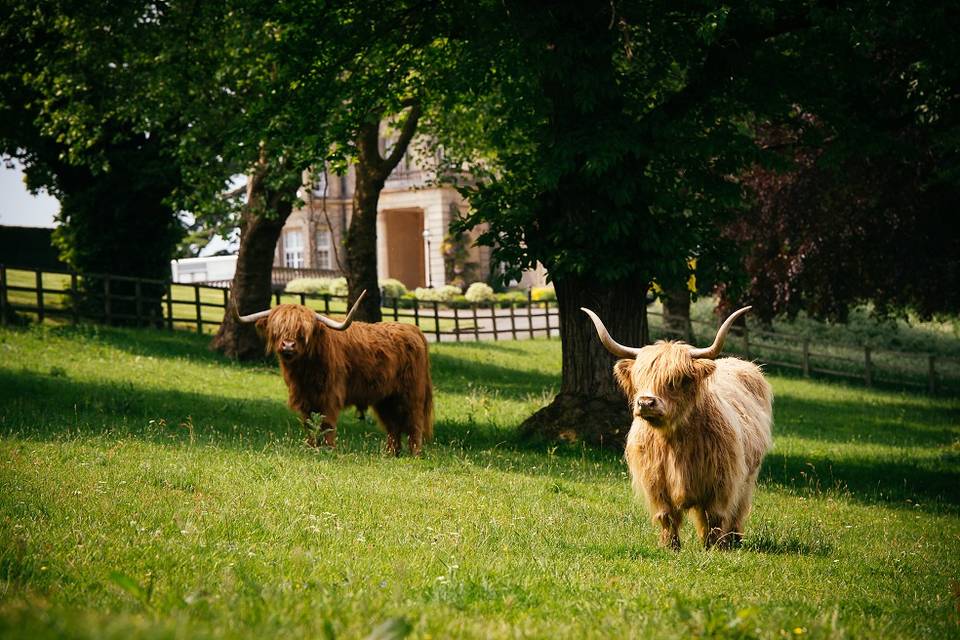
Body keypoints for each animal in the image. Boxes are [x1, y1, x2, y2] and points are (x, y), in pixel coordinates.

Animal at [240, 290, 436, 456]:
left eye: (303, 331)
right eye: (277, 329)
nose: (288, 345)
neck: (305, 371)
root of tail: (414, 330)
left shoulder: (330, 396)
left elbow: (327, 424)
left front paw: (329, 450)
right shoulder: (304, 399)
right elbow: (309, 424)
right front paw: (312, 448)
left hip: (411, 395)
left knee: (414, 423)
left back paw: (415, 454)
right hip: (385, 398)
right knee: (393, 426)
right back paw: (391, 454)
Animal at [576, 306, 772, 552]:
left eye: (676, 380)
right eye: (639, 377)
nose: (646, 402)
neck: (673, 439)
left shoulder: (722, 480)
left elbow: (715, 515)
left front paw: (713, 548)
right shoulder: (655, 482)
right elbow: (666, 515)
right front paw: (670, 546)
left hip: (749, 475)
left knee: (738, 508)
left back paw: (733, 539)